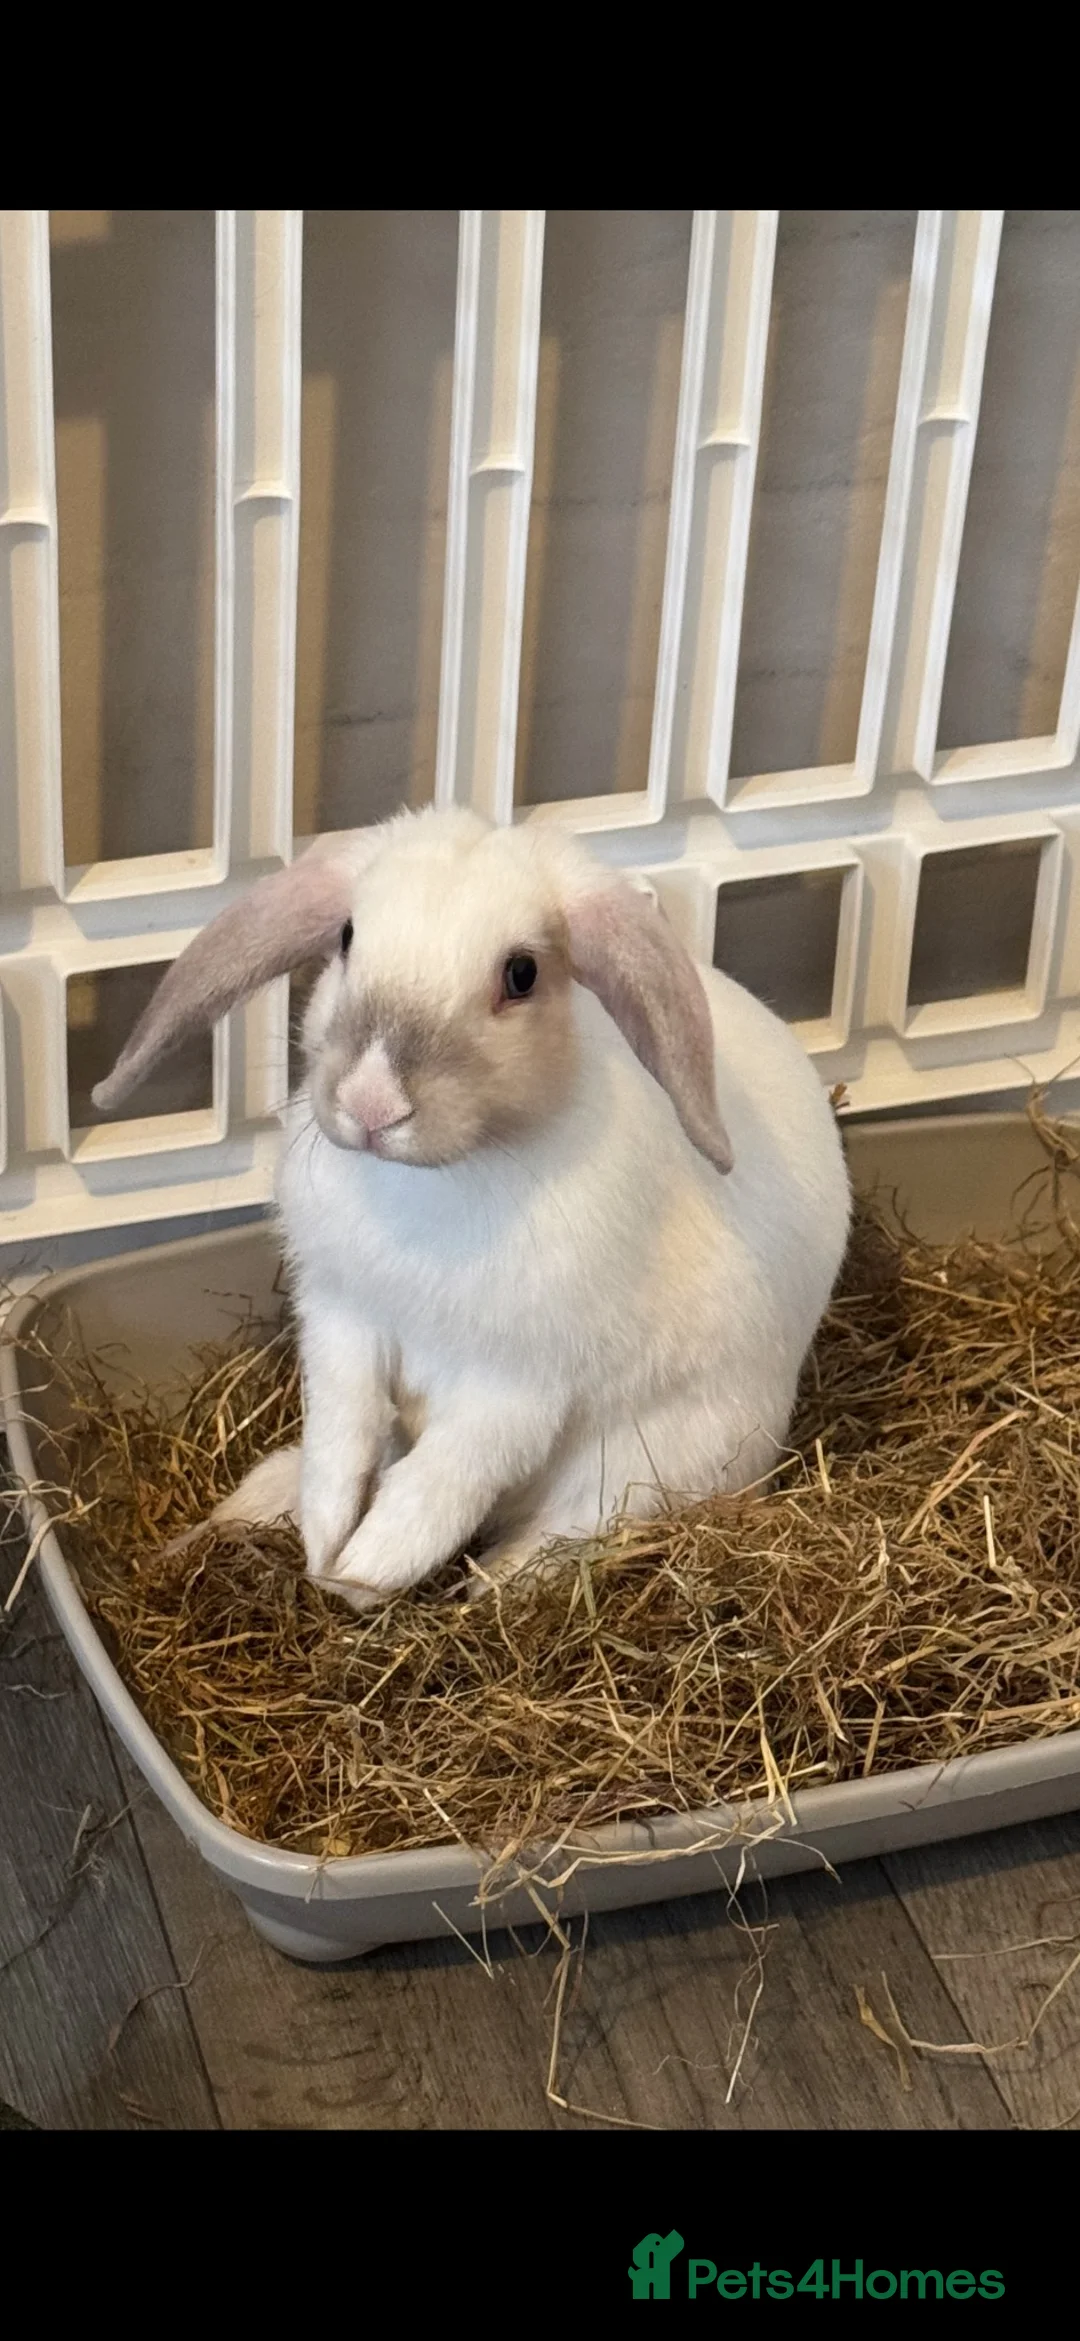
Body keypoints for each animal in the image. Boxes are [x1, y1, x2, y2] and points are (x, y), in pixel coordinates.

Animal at [92, 804, 851, 1612]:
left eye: (521, 974)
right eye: (347, 937)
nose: (371, 1102)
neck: (438, 1181)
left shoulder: (518, 1384)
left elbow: (445, 1479)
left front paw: (359, 1574)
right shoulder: (341, 1321)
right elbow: (341, 1433)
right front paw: (326, 1543)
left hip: (650, 1467)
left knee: (562, 1541)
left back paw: (484, 1590)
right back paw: (228, 1520)